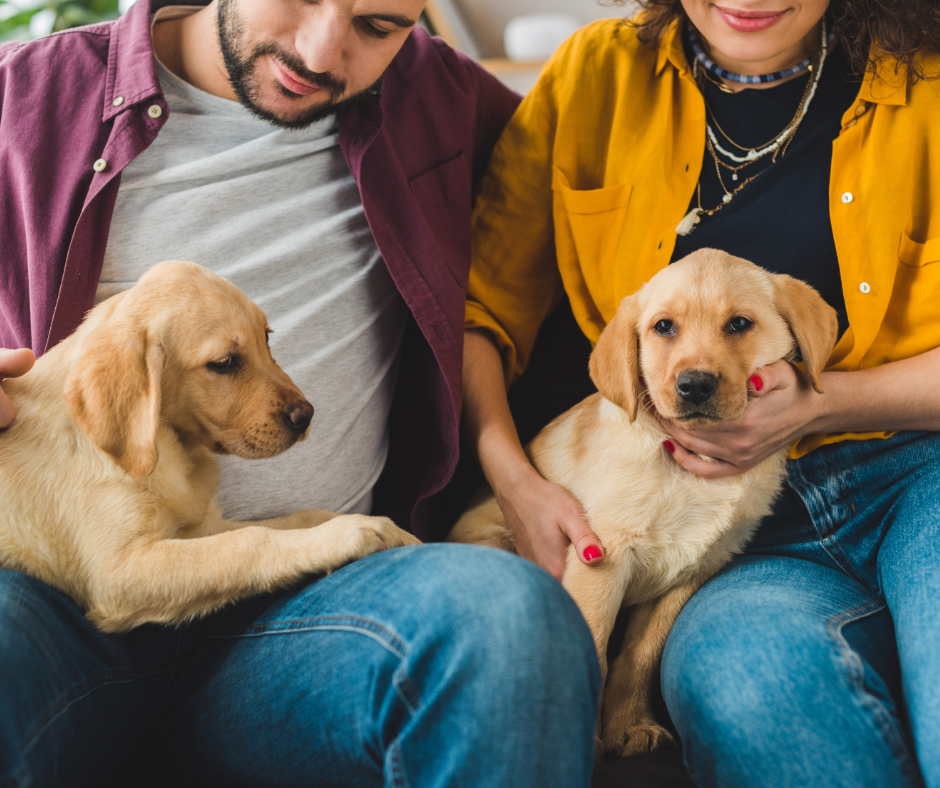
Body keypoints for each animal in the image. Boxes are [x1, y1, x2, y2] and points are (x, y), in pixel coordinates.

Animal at [0, 264, 418, 636]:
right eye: (224, 363)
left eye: (267, 338)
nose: (307, 415)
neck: (165, 446)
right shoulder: (118, 570)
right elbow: (248, 543)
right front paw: (351, 533)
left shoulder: (199, 528)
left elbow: (295, 519)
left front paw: (393, 532)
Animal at [448, 249, 836, 760]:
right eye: (663, 327)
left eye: (739, 324)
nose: (695, 385)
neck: (694, 469)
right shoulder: (602, 558)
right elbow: (594, 646)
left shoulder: (691, 571)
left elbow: (638, 657)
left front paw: (627, 725)